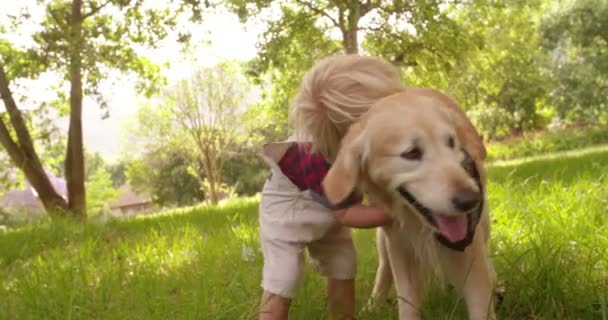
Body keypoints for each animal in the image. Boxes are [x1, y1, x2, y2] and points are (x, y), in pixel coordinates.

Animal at [324, 88, 494, 320]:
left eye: (451, 143)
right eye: (411, 153)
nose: (471, 199)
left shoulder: (471, 251)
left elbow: (480, 302)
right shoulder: (400, 247)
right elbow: (407, 303)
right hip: (384, 242)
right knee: (384, 270)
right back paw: (373, 305)